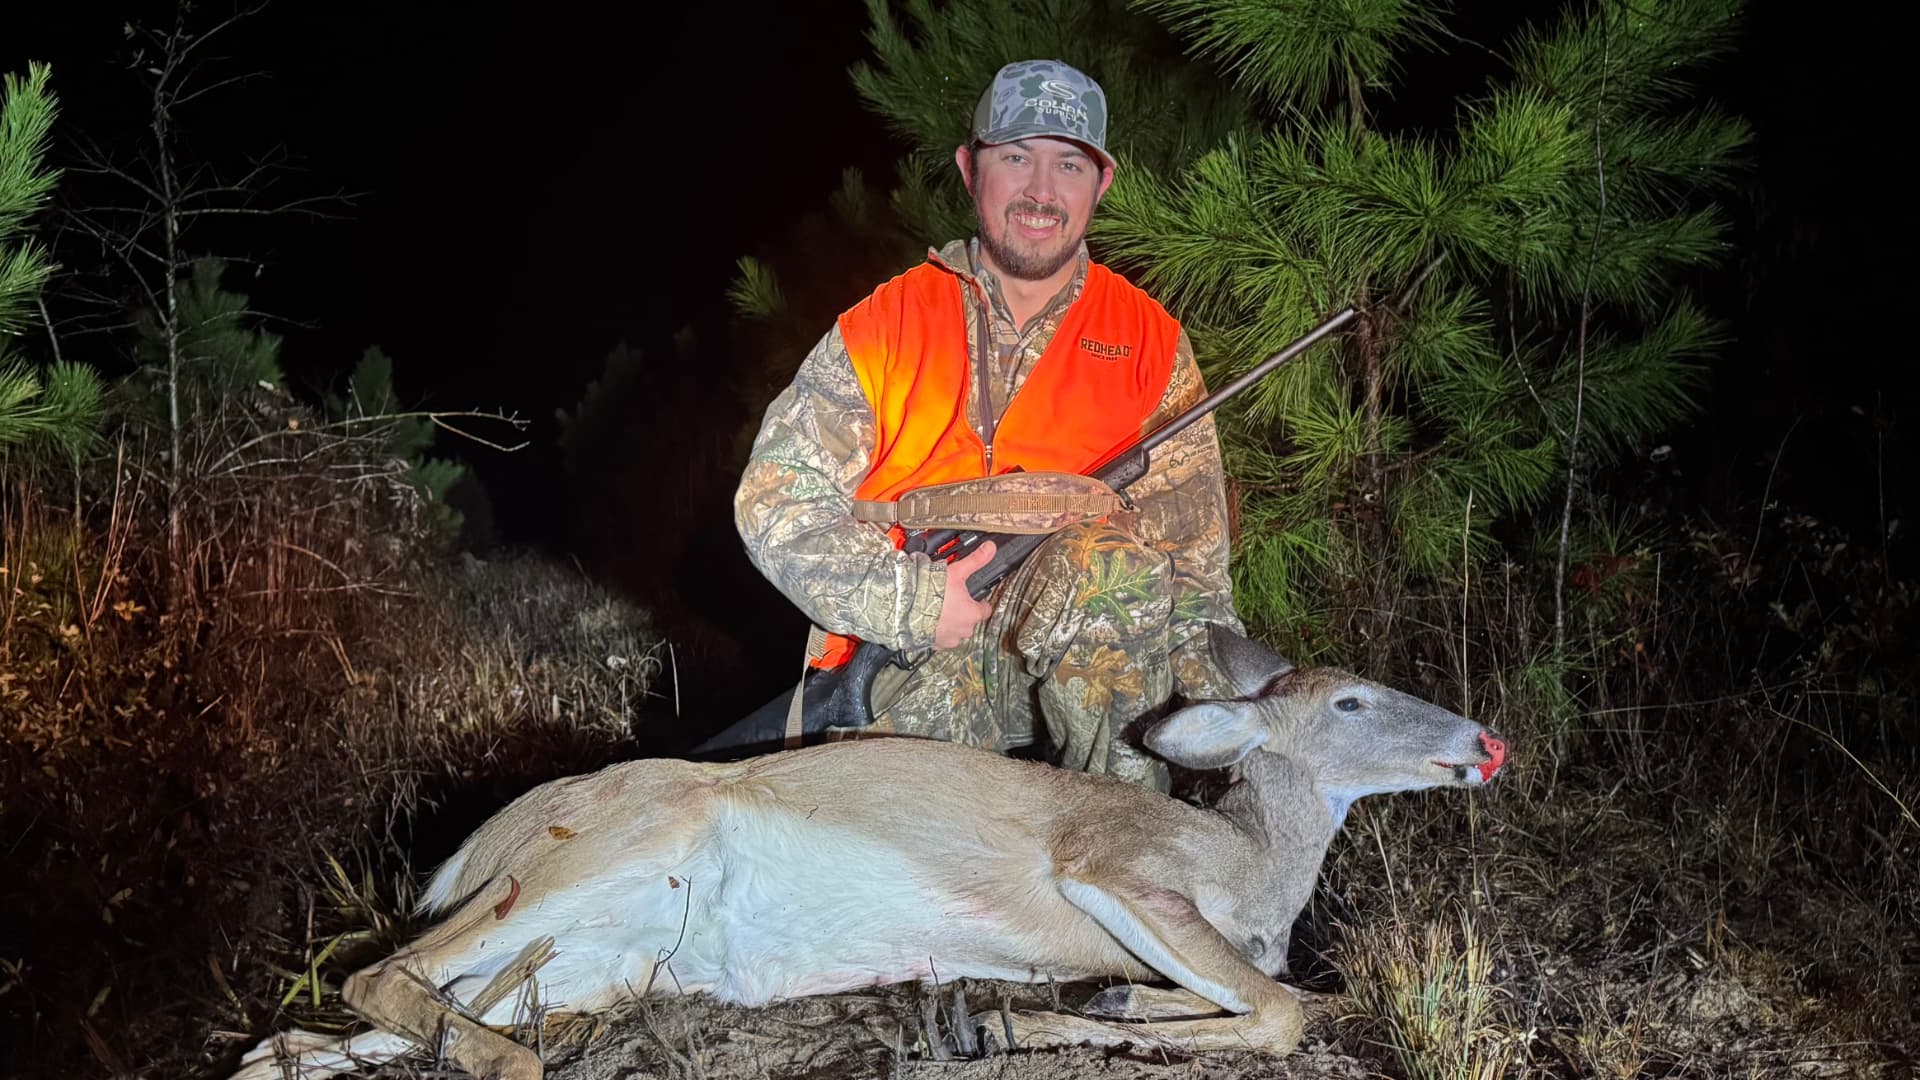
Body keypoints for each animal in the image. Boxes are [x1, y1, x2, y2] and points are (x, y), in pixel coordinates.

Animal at [228, 623, 1508, 1080]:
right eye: (1350, 701)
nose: (1484, 741)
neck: (1251, 867)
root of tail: (467, 848)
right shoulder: (1110, 864)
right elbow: (1285, 1009)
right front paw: (1028, 1025)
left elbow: (1250, 997)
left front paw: (1076, 1014)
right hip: (607, 847)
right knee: (375, 977)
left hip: (588, 965)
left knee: (308, 1037)